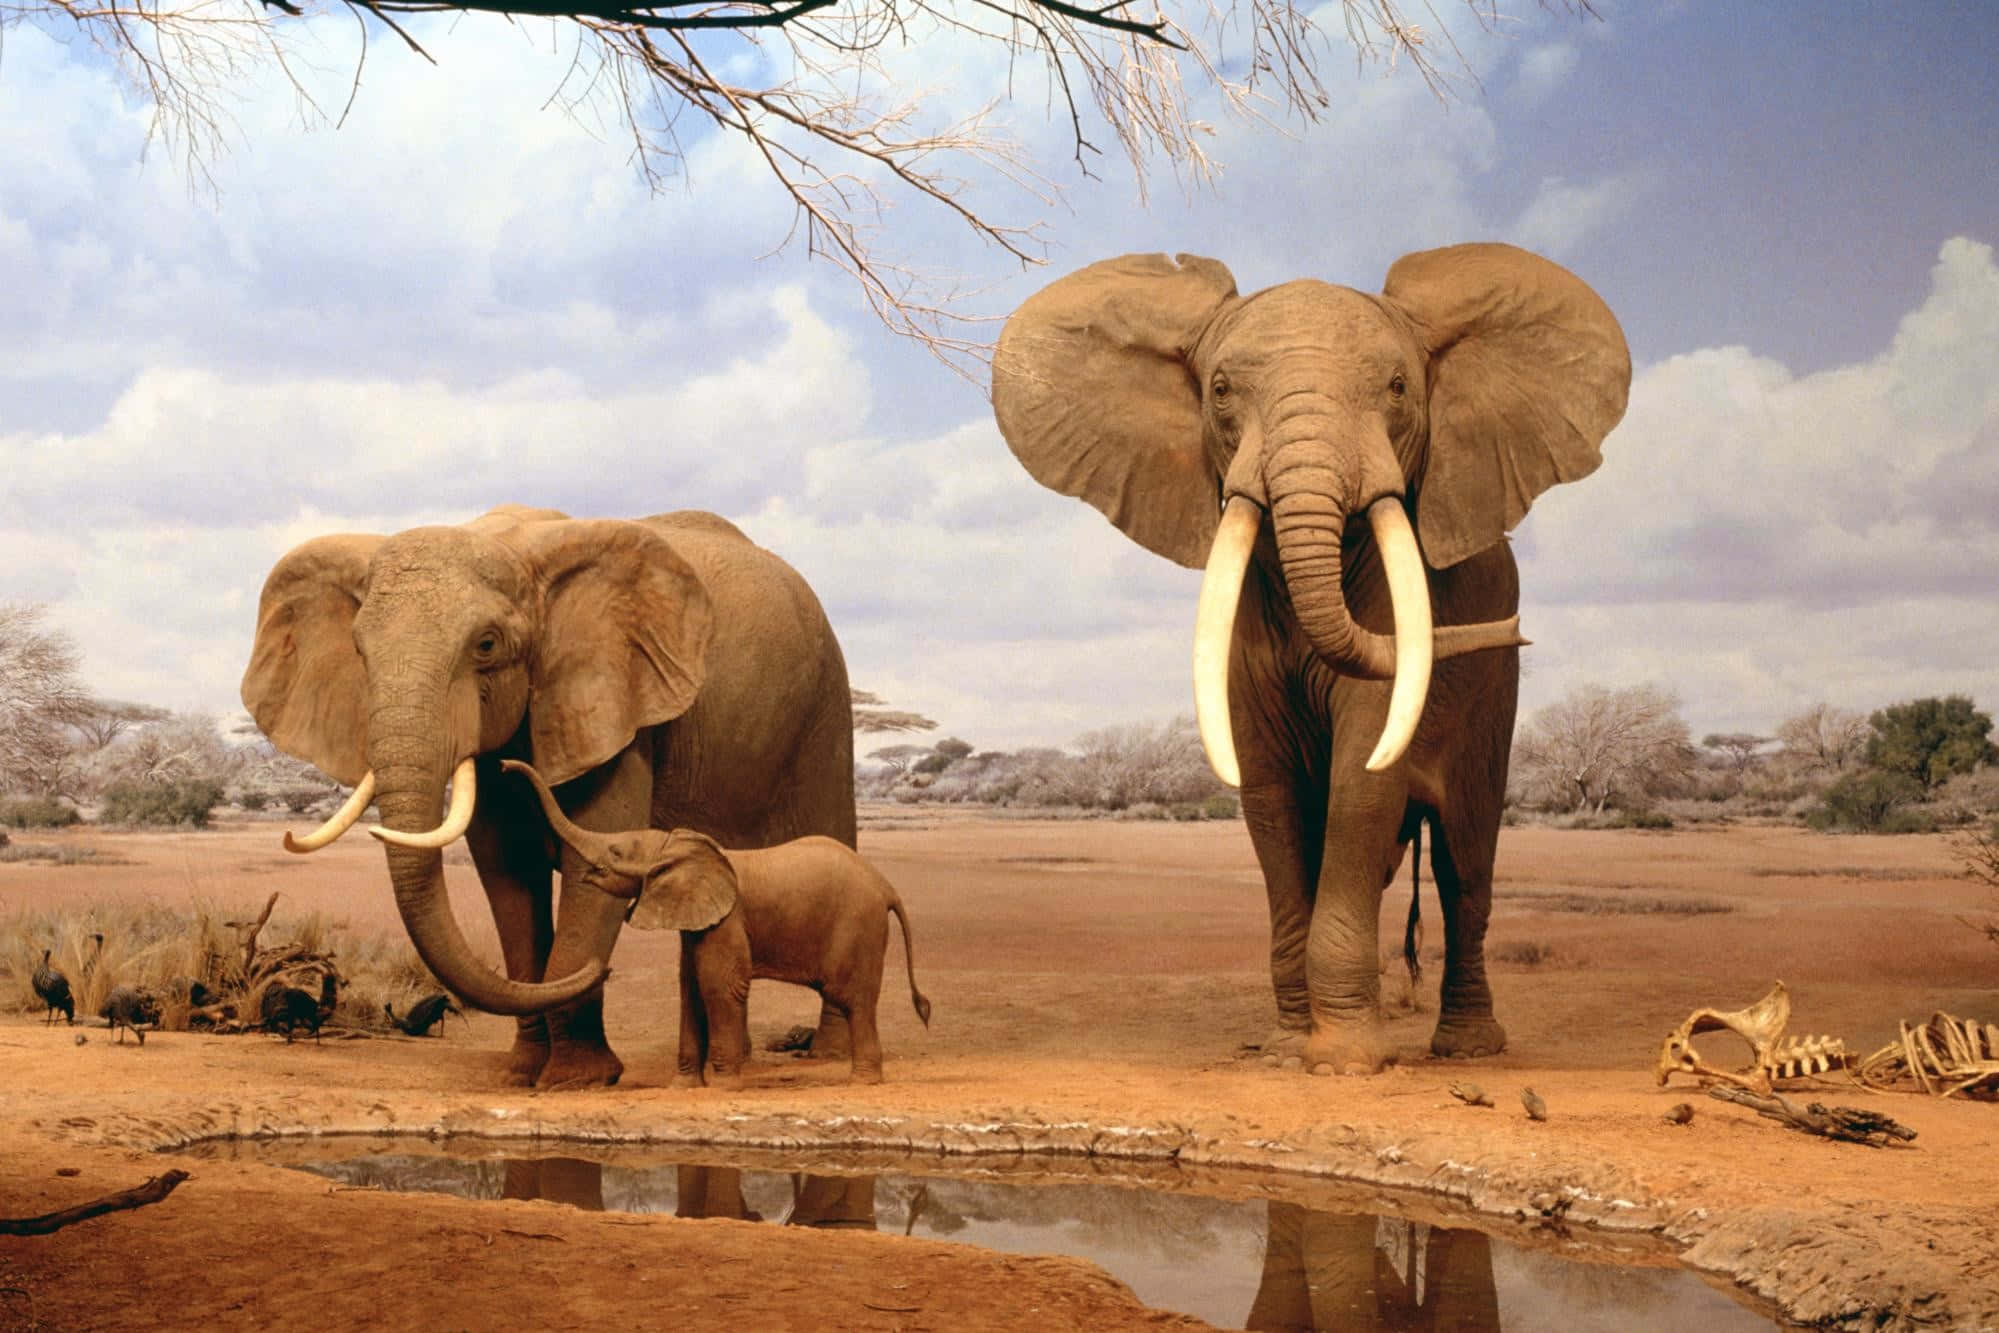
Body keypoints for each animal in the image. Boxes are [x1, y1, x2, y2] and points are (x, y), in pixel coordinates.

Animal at [241, 505, 856, 1089]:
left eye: (487, 645)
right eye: (359, 651)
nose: (602, 970)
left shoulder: (615, 707)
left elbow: (591, 860)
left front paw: (575, 1080)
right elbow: (507, 875)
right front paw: (521, 1075)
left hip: (826, 706)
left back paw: (829, 1055)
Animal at [504, 758, 932, 1087]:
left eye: (616, 851)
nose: (505, 765)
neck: (677, 845)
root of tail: (885, 886)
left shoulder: (727, 920)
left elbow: (719, 986)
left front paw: (724, 1086)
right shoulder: (698, 922)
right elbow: (690, 988)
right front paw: (684, 1086)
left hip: (858, 927)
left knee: (854, 999)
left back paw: (862, 1081)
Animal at [992, 243, 1630, 1074]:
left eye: (1397, 388)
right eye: (1220, 390)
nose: (1514, 629)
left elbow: (1363, 779)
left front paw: (1344, 1061)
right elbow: (1269, 794)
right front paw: (1286, 1047)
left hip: (1495, 696)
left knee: (1464, 864)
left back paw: (1466, 1049)